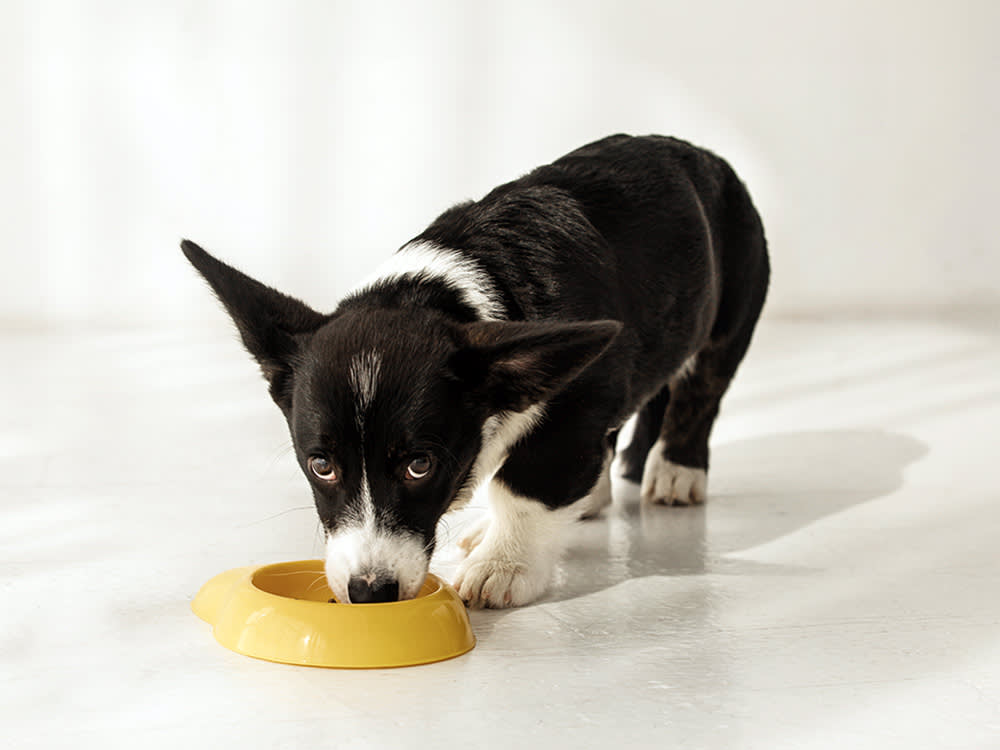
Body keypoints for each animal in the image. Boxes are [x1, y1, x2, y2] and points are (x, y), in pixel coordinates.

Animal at [184, 132, 768, 608]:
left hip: (729, 315)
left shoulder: (574, 407)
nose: (370, 592)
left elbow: (524, 487)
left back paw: (677, 473)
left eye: (420, 466)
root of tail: (699, 154)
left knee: (700, 392)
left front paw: (503, 567)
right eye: (321, 465)